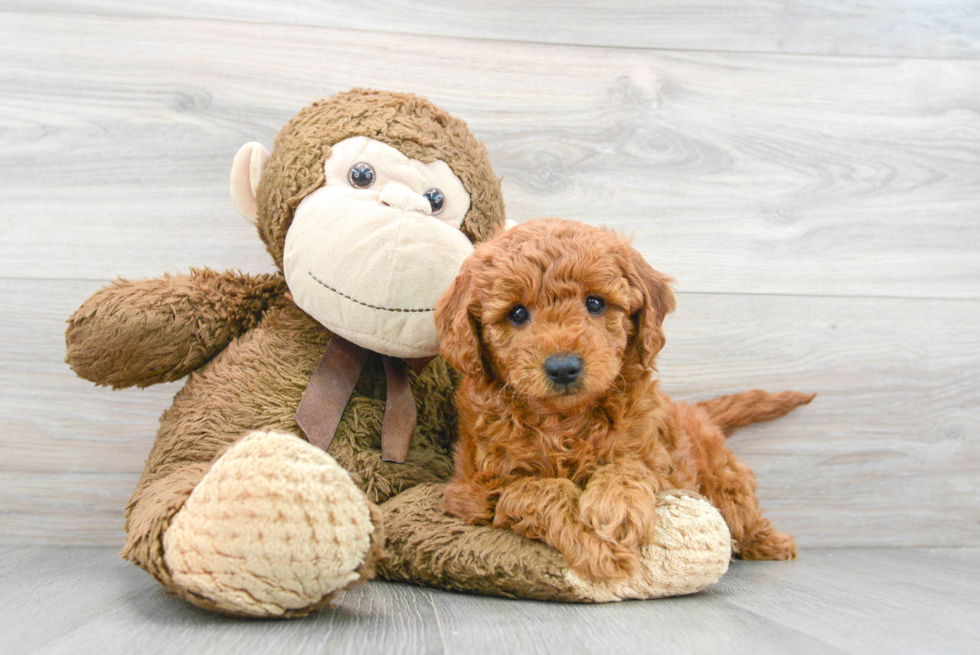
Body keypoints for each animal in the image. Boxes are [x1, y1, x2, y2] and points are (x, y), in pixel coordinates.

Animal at [436, 220, 812, 584]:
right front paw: (596, 547)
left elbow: (628, 466)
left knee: (743, 514)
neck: (565, 421)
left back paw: (772, 544)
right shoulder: (476, 489)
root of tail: (692, 409)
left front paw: (616, 508)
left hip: (723, 482)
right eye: (516, 313)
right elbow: (538, 489)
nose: (563, 367)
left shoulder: (662, 463)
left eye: (595, 303)